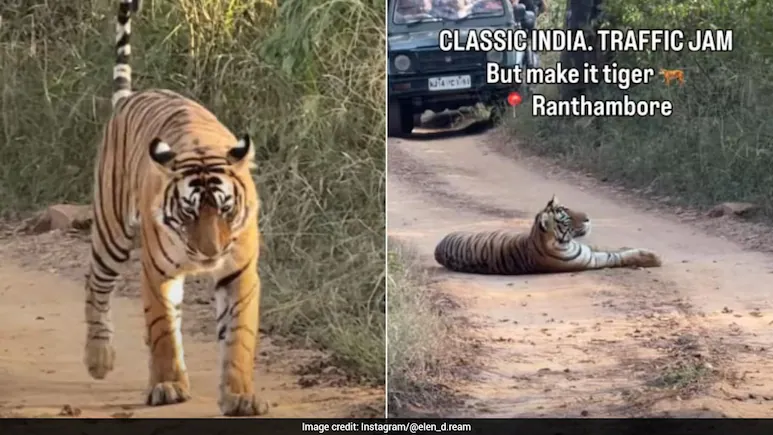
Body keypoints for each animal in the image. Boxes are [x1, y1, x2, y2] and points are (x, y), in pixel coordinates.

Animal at [83, 0, 267, 416]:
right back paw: (98, 359)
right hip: (112, 232)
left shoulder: (240, 274)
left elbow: (239, 338)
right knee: (95, 283)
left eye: (225, 210)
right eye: (188, 212)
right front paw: (167, 386)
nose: (210, 254)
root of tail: (129, 98)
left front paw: (240, 395)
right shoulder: (157, 272)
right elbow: (162, 330)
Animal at [434, 195, 661, 275]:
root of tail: (438, 246)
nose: (588, 218)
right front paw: (653, 257)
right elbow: (617, 256)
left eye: (568, 207)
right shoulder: (591, 259)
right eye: (567, 217)